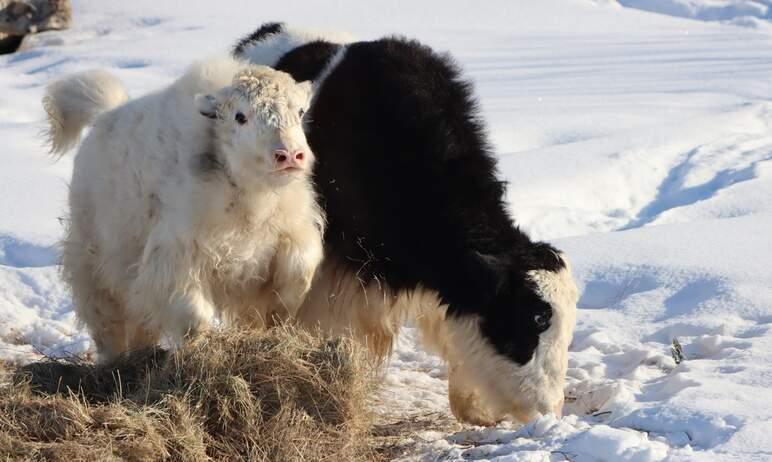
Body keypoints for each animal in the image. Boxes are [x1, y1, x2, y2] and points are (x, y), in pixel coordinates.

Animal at [45, 58, 322, 360]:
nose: (289, 155)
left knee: (142, 322)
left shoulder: (290, 235)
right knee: (107, 322)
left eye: (300, 111)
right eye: (240, 116)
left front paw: (277, 319)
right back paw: (113, 360)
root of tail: (103, 116)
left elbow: (298, 274)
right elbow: (193, 318)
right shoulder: (176, 256)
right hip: (93, 264)